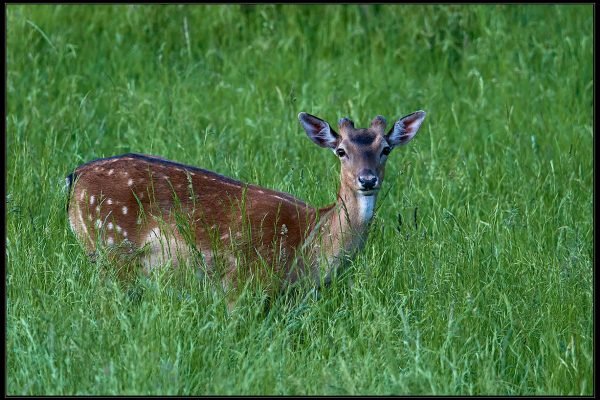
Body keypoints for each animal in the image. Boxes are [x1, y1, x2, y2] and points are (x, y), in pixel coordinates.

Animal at [67, 111, 426, 302]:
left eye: (385, 149)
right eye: (341, 150)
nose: (367, 179)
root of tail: (75, 176)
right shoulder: (243, 282)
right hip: (112, 247)